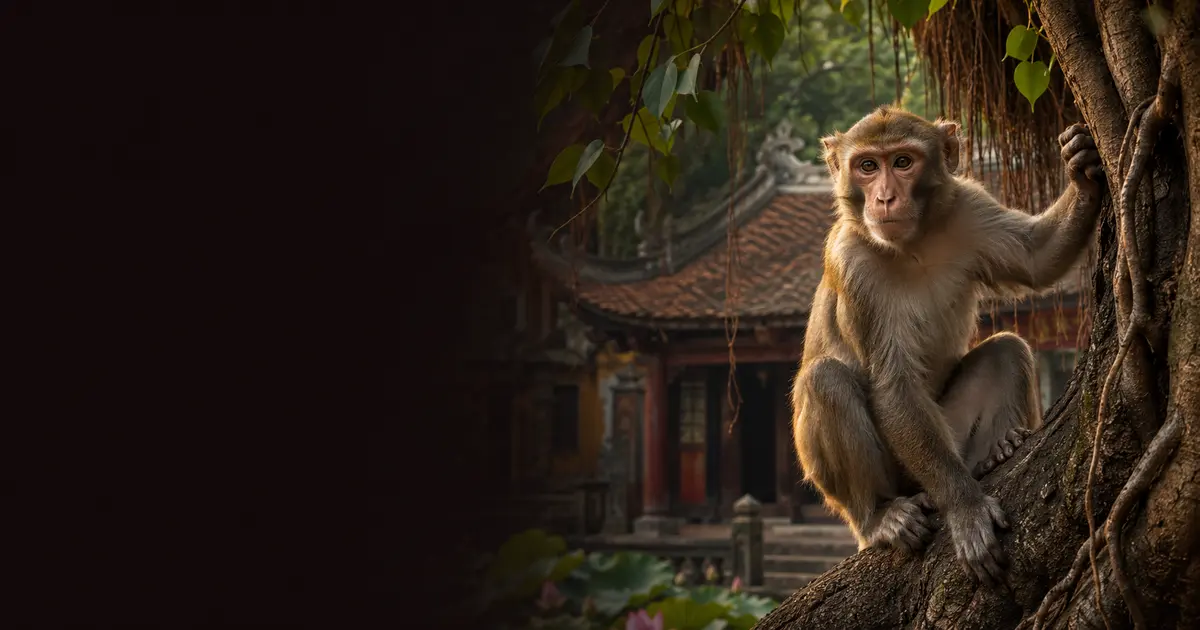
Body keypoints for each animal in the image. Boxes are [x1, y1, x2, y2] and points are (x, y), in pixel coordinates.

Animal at [790, 105, 1104, 587]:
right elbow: (892, 384)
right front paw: (966, 507)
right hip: (901, 475)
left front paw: (1081, 163)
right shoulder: (852, 262)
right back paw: (878, 518)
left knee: (1007, 349)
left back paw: (998, 451)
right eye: (867, 166)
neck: (913, 243)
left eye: (903, 162)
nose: (884, 198)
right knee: (826, 380)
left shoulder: (968, 208)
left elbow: (1036, 257)